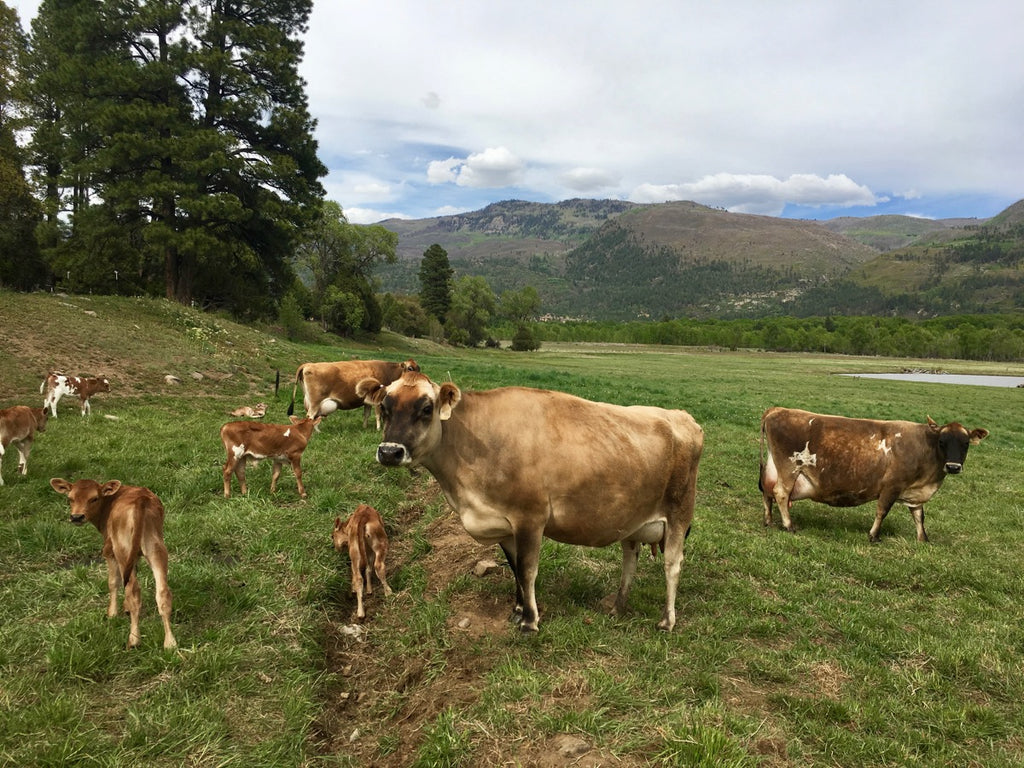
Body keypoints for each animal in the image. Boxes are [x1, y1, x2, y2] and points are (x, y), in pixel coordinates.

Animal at [50, 481, 178, 651]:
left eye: (94, 498)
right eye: (70, 498)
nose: (76, 517)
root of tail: (141, 500)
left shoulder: (109, 551)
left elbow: (113, 582)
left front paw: (112, 613)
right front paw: (125, 608)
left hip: (122, 549)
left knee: (134, 591)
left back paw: (133, 640)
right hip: (156, 548)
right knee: (162, 592)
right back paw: (170, 643)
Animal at [284, 360, 419, 430]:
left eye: (419, 368)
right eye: (410, 368)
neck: (387, 370)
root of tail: (308, 364)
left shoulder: (367, 400)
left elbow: (366, 414)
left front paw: (364, 427)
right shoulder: (378, 399)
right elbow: (377, 415)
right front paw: (378, 428)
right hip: (315, 403)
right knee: (310, 416)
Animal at [757, 405, 987, 544]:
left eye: (966, 444)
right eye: (942, 441)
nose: (953, 467)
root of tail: (777, 410)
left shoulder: (915, 492)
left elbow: (919, 516)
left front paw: (923, 539)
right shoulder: (892, 486)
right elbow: (882, 511)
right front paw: (874, 535)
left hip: (773, 467)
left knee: (767, 492)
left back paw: (769, 520)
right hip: (790, 468)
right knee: (780, 493)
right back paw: (788, 525)